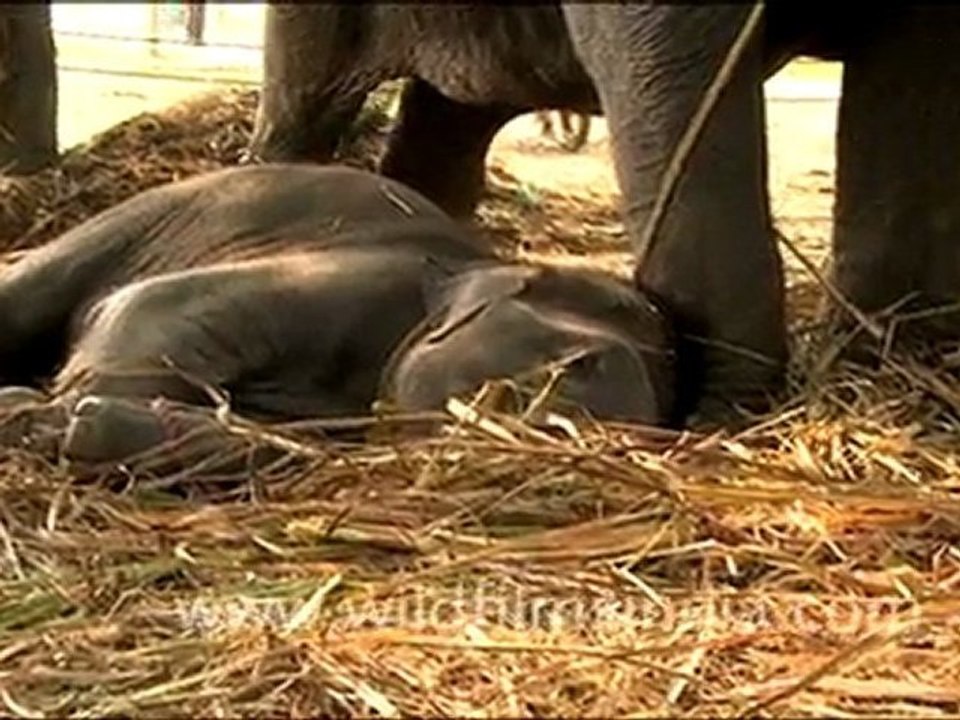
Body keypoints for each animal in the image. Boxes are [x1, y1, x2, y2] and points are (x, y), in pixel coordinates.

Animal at [0, 164, 674, 473]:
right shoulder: (352, 276)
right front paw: (40, 413)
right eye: (587, 361)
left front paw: (68, 421)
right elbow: (155, 305)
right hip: (140, 218)